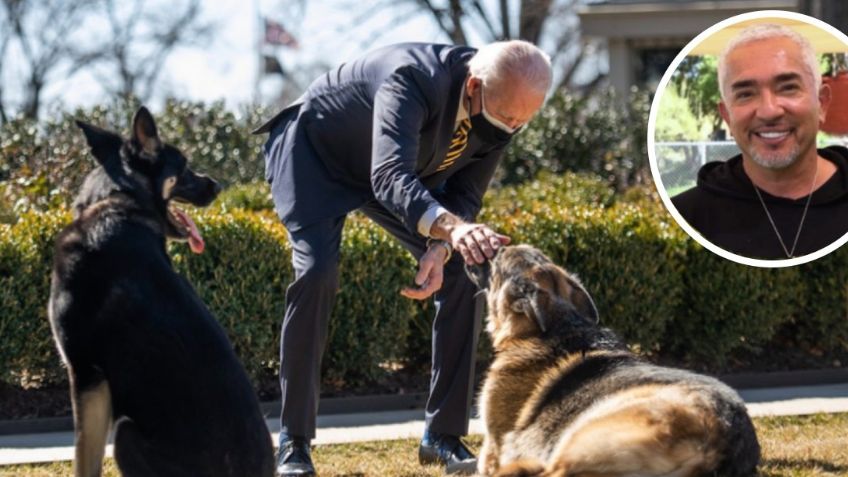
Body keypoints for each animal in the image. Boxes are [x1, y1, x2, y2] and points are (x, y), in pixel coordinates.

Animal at [48, 107, 274, 476]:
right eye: (184, 167)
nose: (217, 185)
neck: (118, 203)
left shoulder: (87, 375)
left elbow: (84, 462)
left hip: (125, 434)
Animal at [468, 245, 760, 476]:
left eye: (497, 259)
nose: (487, 247)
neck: (559, 323)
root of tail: (717, 447)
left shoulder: (492, 447)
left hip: (584, 433)